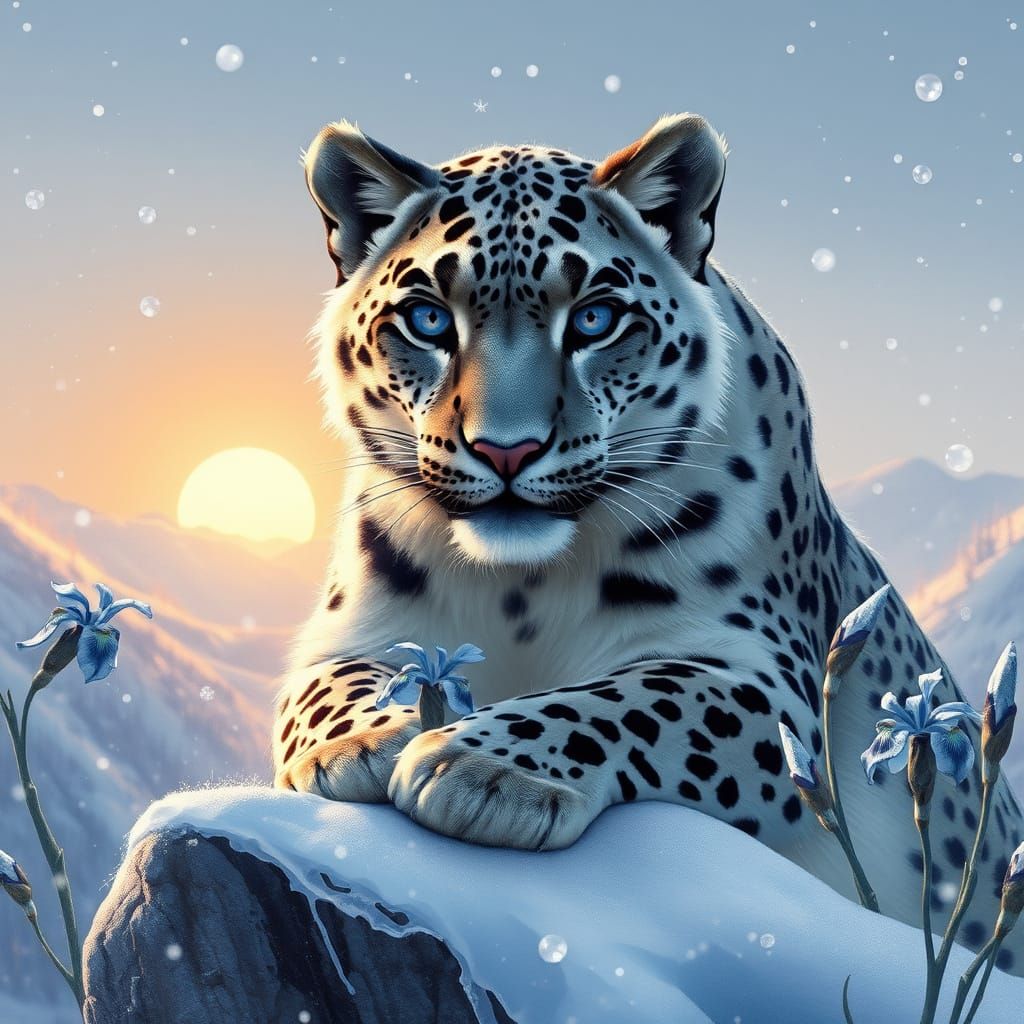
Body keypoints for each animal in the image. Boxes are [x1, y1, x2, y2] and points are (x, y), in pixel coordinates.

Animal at [272, 113, 1024, 973]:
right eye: (429, 320)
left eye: (594, 319)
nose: (506, 450)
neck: (519, 590)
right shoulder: (353, 636)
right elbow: (329, 689)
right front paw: (367, 741)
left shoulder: (756, 672)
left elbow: (622, 700)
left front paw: (482, 770)